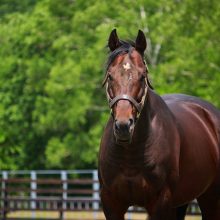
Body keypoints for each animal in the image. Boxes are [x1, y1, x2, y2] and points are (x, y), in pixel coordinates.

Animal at [99, 29, 220, 220]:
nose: (124, 126)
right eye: (110, 76)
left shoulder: (160, 203)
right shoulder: (111, 203)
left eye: (142, 76)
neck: (131, 155)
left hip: (211, 197)